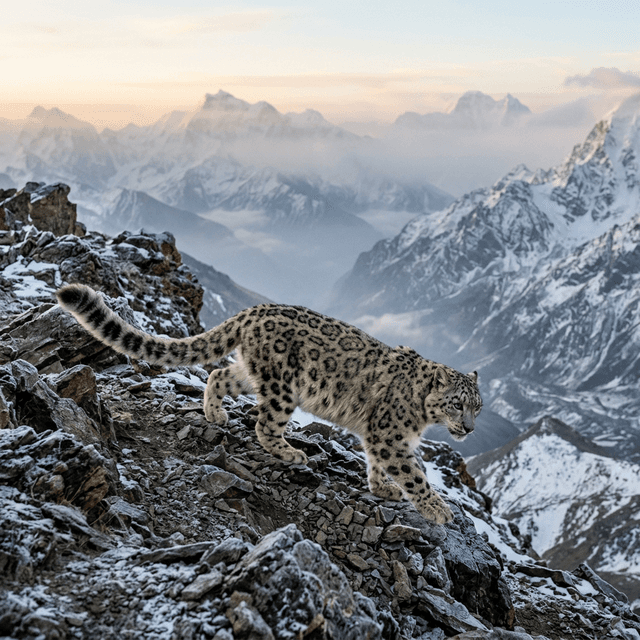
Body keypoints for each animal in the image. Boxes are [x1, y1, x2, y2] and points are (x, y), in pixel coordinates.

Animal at [56, 283, 482, 524]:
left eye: (478, 407)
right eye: (457, 405)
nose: (470, 428)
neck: (422, 418)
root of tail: (253, 312)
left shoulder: (381, 438)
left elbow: (379, 465)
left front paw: (384, 488)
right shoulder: (390, 436)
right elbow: (414, 474)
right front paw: (438, 509)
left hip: (254, 372)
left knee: (220, 374)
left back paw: (215, 413)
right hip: (284, 385)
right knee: (265, 423)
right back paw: (290, 451)